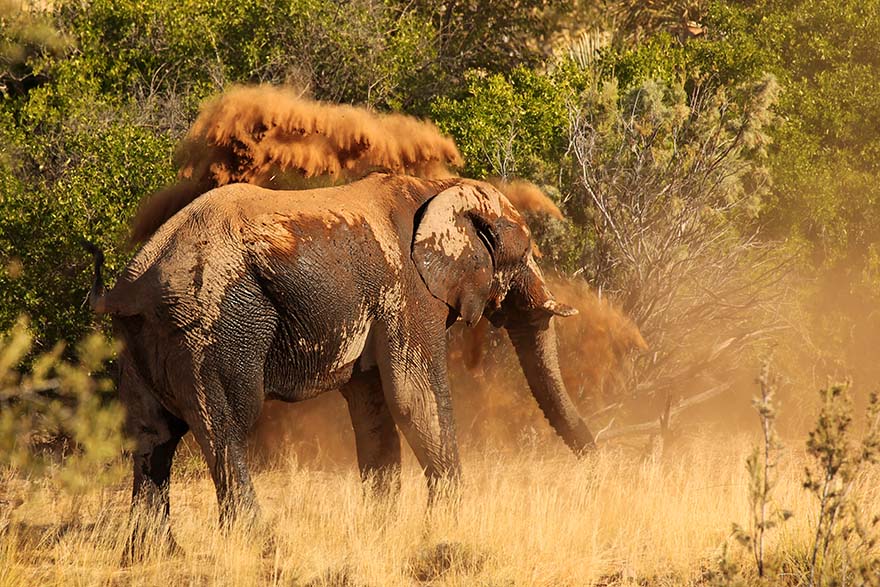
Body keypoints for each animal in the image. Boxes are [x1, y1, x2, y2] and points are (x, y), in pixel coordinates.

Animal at [87, 171, 595, 548]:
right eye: (524, 255)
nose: (599, 470)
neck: (439, 187)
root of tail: (131, 285)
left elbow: (374, 408)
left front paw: (382, 532)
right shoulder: (409, 290)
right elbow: (413, 397)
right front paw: (451, 528)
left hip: (139, 339)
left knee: (151, 435)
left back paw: (154, 553)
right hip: (208, 326)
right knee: (226, 427)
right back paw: (261, 544)